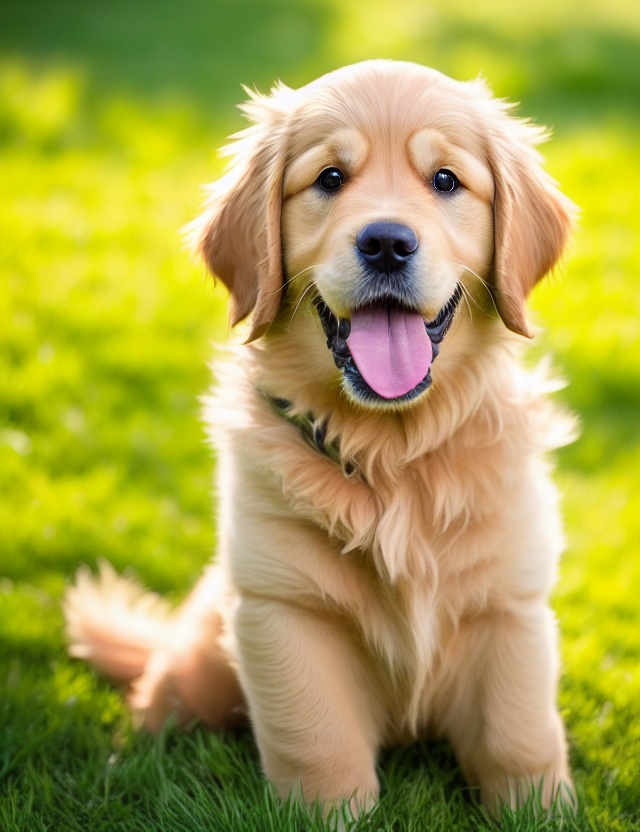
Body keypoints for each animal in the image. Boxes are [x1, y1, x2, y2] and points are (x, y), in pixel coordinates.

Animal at [63, 60, 576, 820]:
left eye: (446, 180)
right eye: (330, 178)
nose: (387, 242)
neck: (392, 453)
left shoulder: (510, 605)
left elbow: (519, 736)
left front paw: (542, 809)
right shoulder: (284, 610)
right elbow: (320, 745)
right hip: (200, 658)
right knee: (159, 698)